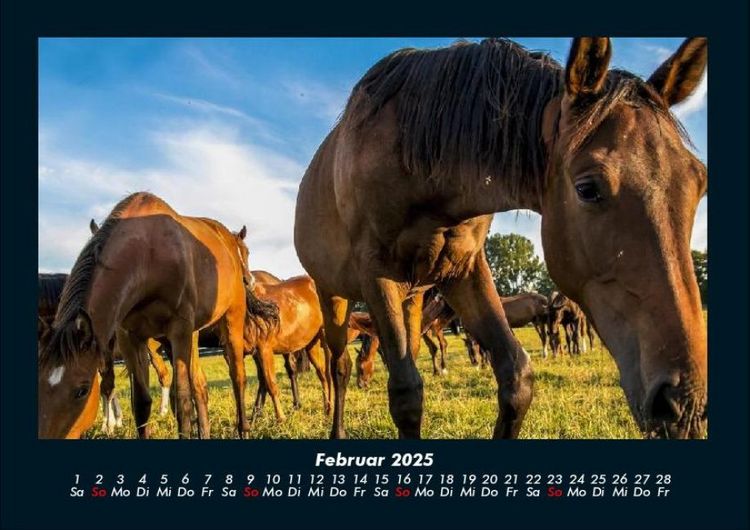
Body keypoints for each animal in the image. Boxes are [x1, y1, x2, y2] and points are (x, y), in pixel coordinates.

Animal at [38, 192, 275, 439]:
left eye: (82, 391)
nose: (249, 279)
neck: (148, 256)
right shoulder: (129, 337)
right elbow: (141, 403)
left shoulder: (179, 330)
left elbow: (182, 400)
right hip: (189, 335)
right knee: (200, 385)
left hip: (230, 321)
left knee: (237, 377)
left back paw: (243, 428)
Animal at [294, 37, 707, 439]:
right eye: (587, 189)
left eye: (699, 182)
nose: (684, 404)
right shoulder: (377, 274)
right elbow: (406, 396)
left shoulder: (464, 270)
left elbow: (516, 378)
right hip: (333, 296)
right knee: (340, 365)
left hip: (411, 298)